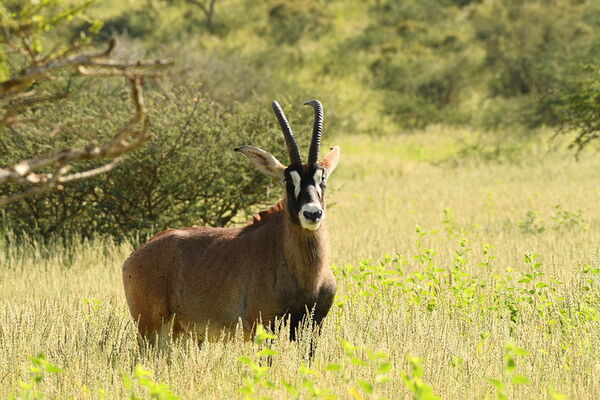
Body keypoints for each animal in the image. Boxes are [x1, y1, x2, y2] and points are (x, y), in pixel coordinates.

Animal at [120, 98, 340, 342]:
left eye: (322, 178)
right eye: (287, 180)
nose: (312, 213)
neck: (306, 275)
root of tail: (134, 257)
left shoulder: (313, 325)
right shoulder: (262, 325)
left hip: (179, 332)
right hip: (150, 329)